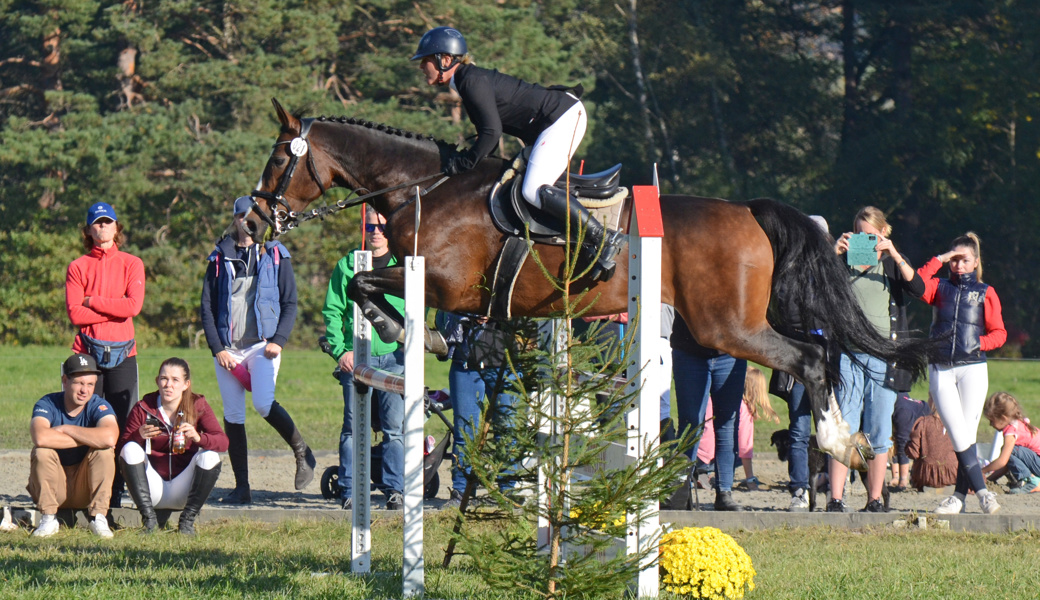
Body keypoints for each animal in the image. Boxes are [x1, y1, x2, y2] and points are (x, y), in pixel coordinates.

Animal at [245, 98, 935, 467]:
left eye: (279, 158)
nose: (251, 221)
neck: (428, 186)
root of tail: (748, 211)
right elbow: (378, 289)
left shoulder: (443, 285)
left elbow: (372, 289)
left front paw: (413, 336)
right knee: (819, 353)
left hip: (725, 326)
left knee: (812, 358)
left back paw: (839, 445)